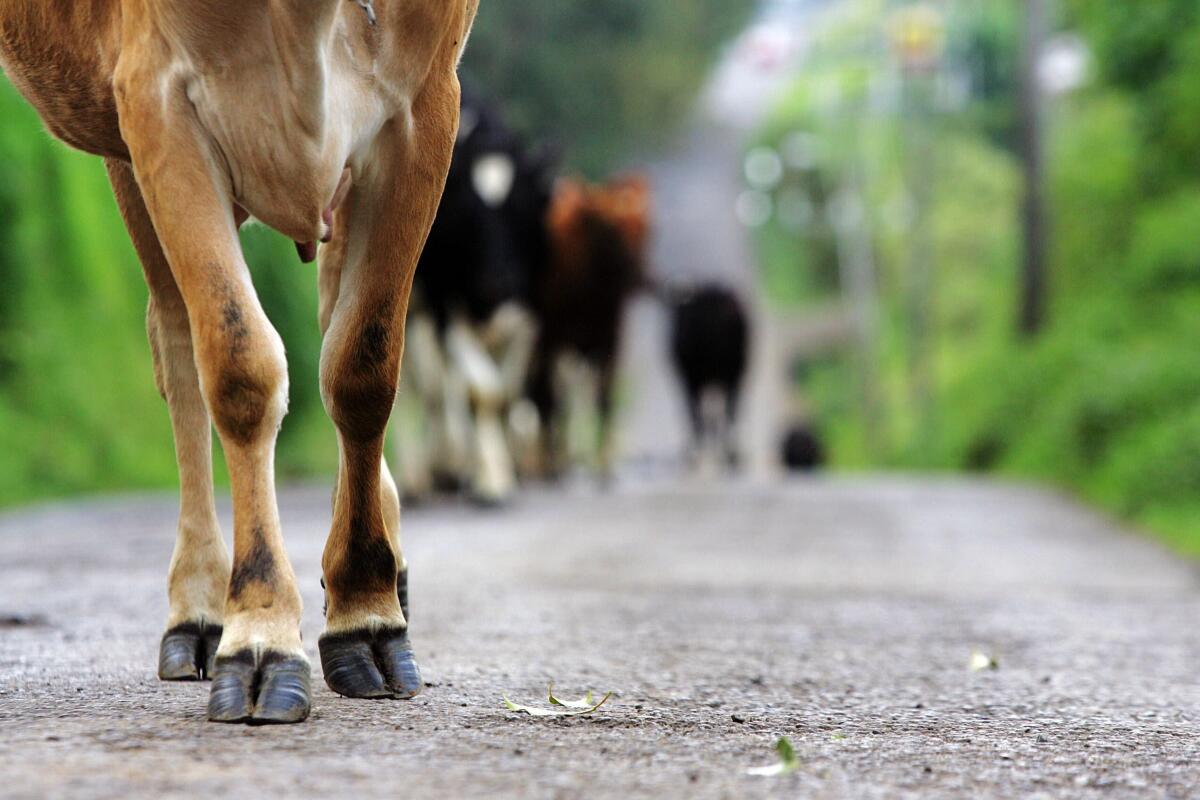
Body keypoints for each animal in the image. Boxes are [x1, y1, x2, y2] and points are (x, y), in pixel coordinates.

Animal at [0, 0, 477, 724]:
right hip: (126, 152)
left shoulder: (424, 106)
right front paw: (260, 635)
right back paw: (199, 609)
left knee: (331, 316)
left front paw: (367, 612)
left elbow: (363, 366)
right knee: (177, 339)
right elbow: (238, 365)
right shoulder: (158, 99)